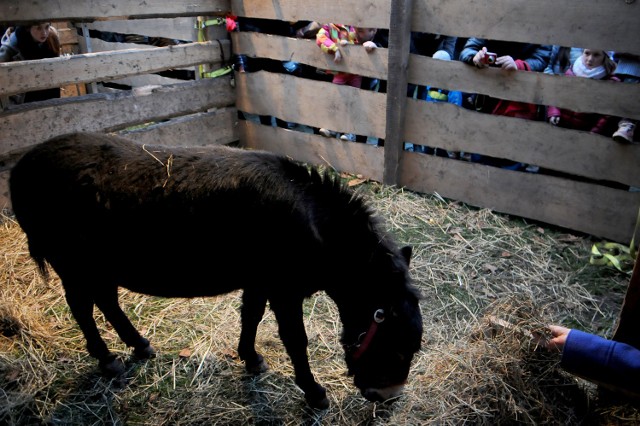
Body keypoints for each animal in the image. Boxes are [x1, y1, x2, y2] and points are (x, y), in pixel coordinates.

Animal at [10, 133, 422, 410]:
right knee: (82, 308)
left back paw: (139, 345)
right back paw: (107, 358)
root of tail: (20, 167)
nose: (388, 398)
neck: (311, 225)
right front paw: (314, 392)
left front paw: (251, 358)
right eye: (398, 343)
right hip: (73, 265)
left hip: (100, 266)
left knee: (107, 302)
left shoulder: (259, 281)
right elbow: (295, 340)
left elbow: (250, 316)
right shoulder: (284, 289)